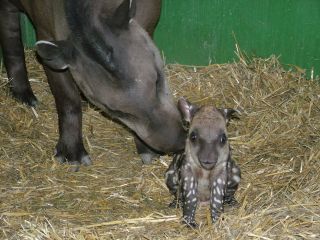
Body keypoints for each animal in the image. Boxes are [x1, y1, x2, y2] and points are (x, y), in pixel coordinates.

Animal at [165, 98, 240, 227]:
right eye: (193, 136)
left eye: (223, 138)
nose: (208, 159)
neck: (205, 170)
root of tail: (203, 202)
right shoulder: (187, 169)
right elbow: (190, 198)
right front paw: (189, 223)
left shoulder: (220, 171)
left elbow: (217, 199)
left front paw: (218, 221)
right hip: (169, 176)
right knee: (176, 192)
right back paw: (176, 203)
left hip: (235, 174)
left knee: (230, 192)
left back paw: (232, 202)